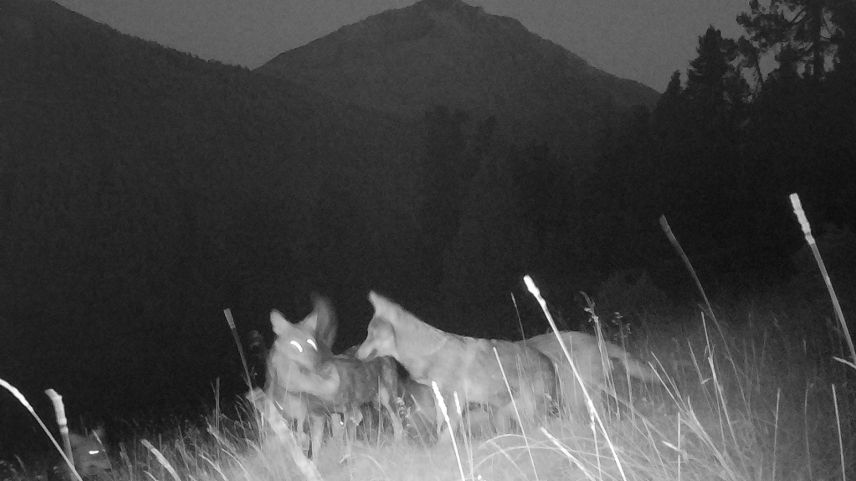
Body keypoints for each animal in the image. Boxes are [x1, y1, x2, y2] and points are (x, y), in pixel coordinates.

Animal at [352, 290, 556, 436]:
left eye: (370, 334)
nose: (356, 355)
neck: (428, 354)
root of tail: (548, 360)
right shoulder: (439, 399)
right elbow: (440, 428)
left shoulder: (454, 399)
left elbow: (445, 433)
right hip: (502, 415)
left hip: (526, 412)